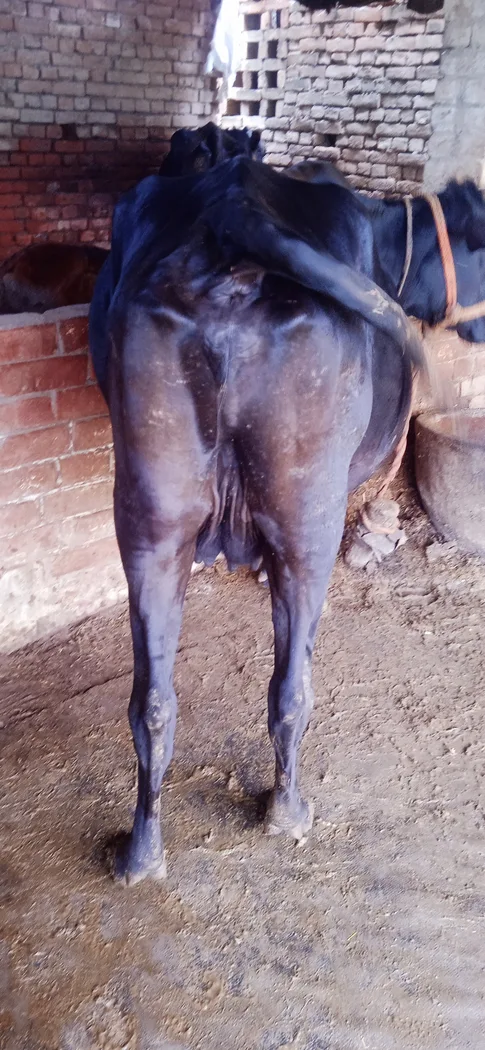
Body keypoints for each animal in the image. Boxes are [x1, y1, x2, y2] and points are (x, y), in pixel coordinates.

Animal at [89, 152, 485, 885]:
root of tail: (234, 217)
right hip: (308, 514)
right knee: (292, 688)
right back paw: (287, 811)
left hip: (150, 515)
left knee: (151, 703)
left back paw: (142, 851)